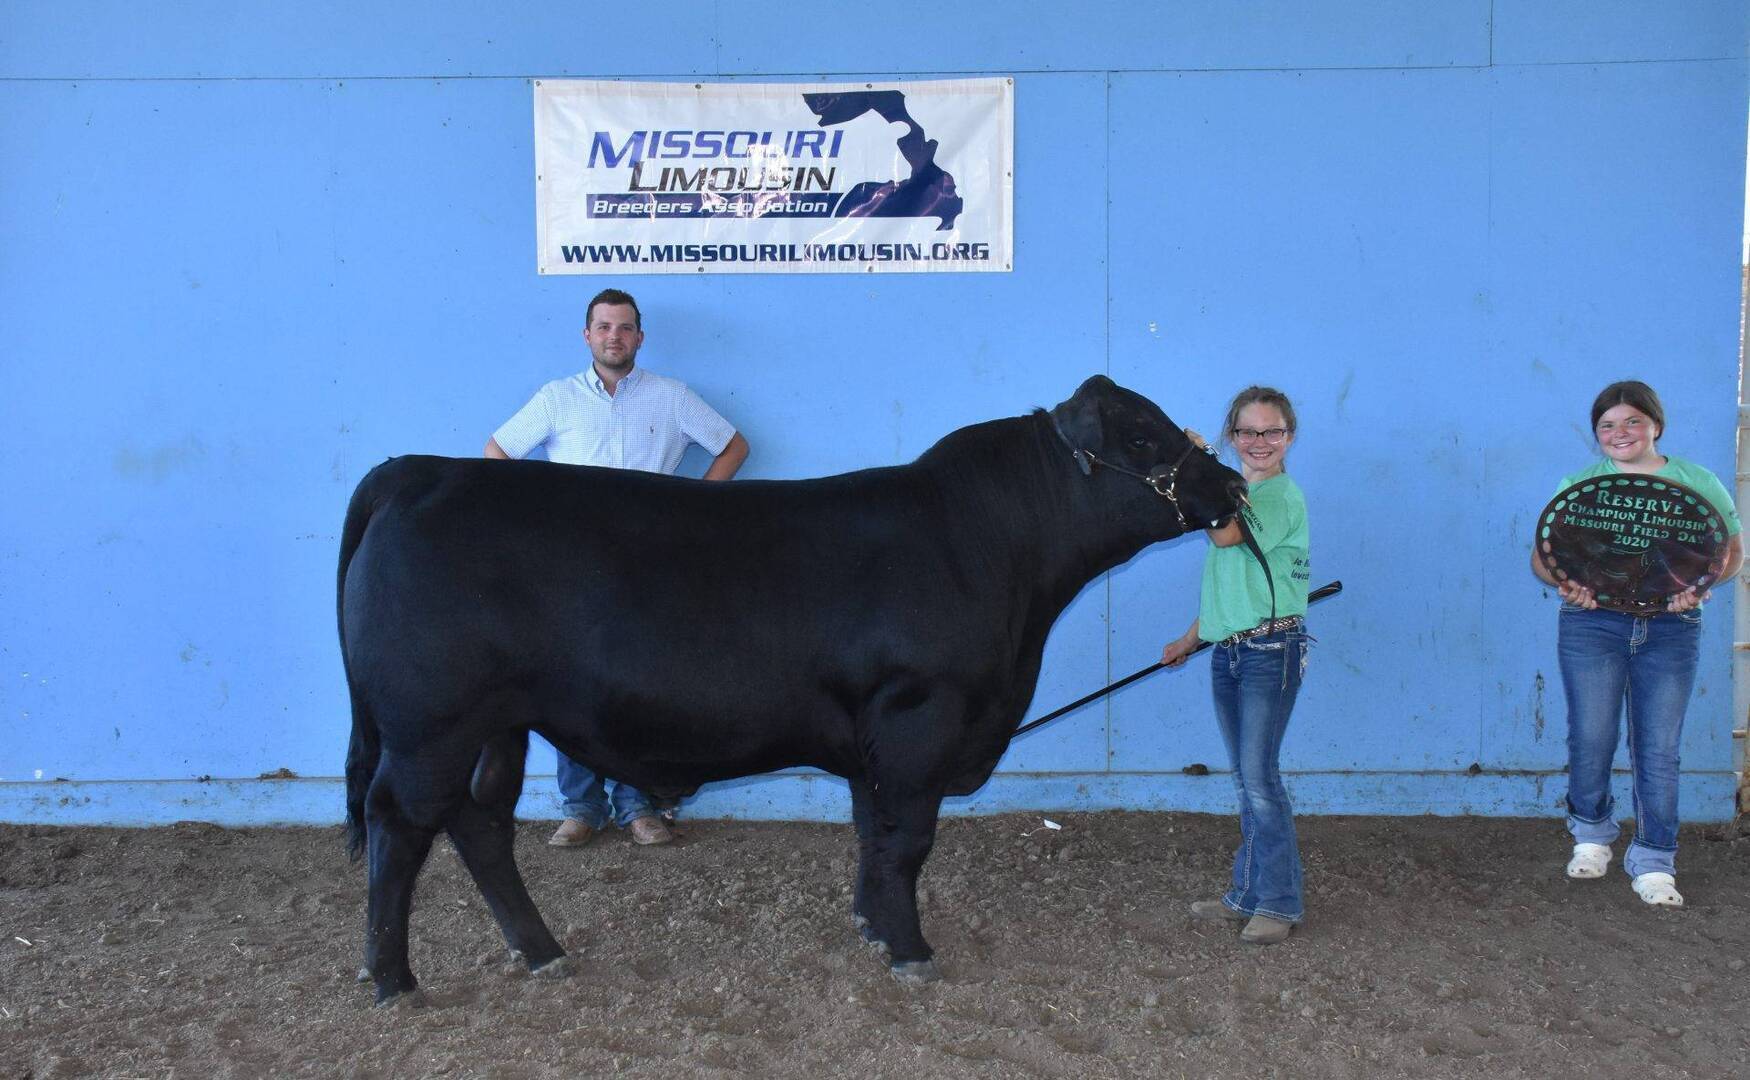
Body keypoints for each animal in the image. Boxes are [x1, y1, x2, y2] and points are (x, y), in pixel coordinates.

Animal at [338, 375, 1247, 1004]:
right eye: (1142, 433)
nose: (1232, 486)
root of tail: (418, 471)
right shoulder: (920, 715)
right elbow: (908, 839)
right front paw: (913, 953)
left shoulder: (875, 734)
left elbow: (873, 834)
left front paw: (873, 927)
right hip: (431, 724)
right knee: (400, 825)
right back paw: (392, 980)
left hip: (496, 721)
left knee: (478, 824)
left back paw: (541, 951)